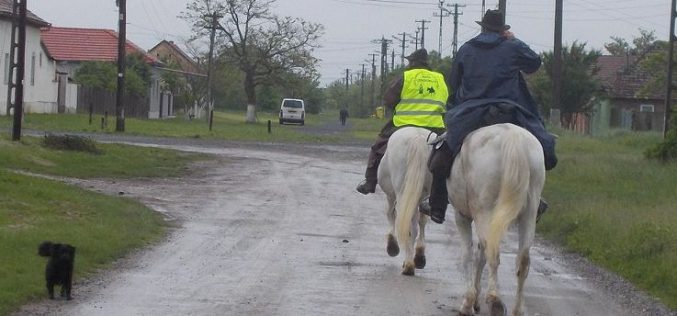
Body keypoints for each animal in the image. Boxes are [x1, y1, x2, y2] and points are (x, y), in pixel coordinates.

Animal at [374, 127, 434, 276]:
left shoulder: (390, 195)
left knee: (405, 222)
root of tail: (418, 138)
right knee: (418, 223)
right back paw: (416, 259)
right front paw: (419, 256)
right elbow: (421, 221)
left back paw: (408, 265)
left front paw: (392, 245)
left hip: (401, 192)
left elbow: (391, 214)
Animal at [446, 123, 548, 316]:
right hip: (529, 213)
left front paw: (468, 303)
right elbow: (479, 255)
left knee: (492, 253)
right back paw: (517, 310)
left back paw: (494, 301)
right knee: (523, 259)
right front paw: (475, 301)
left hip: (484, 211)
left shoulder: (461, 216)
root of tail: (513, 137)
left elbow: (468, 254)